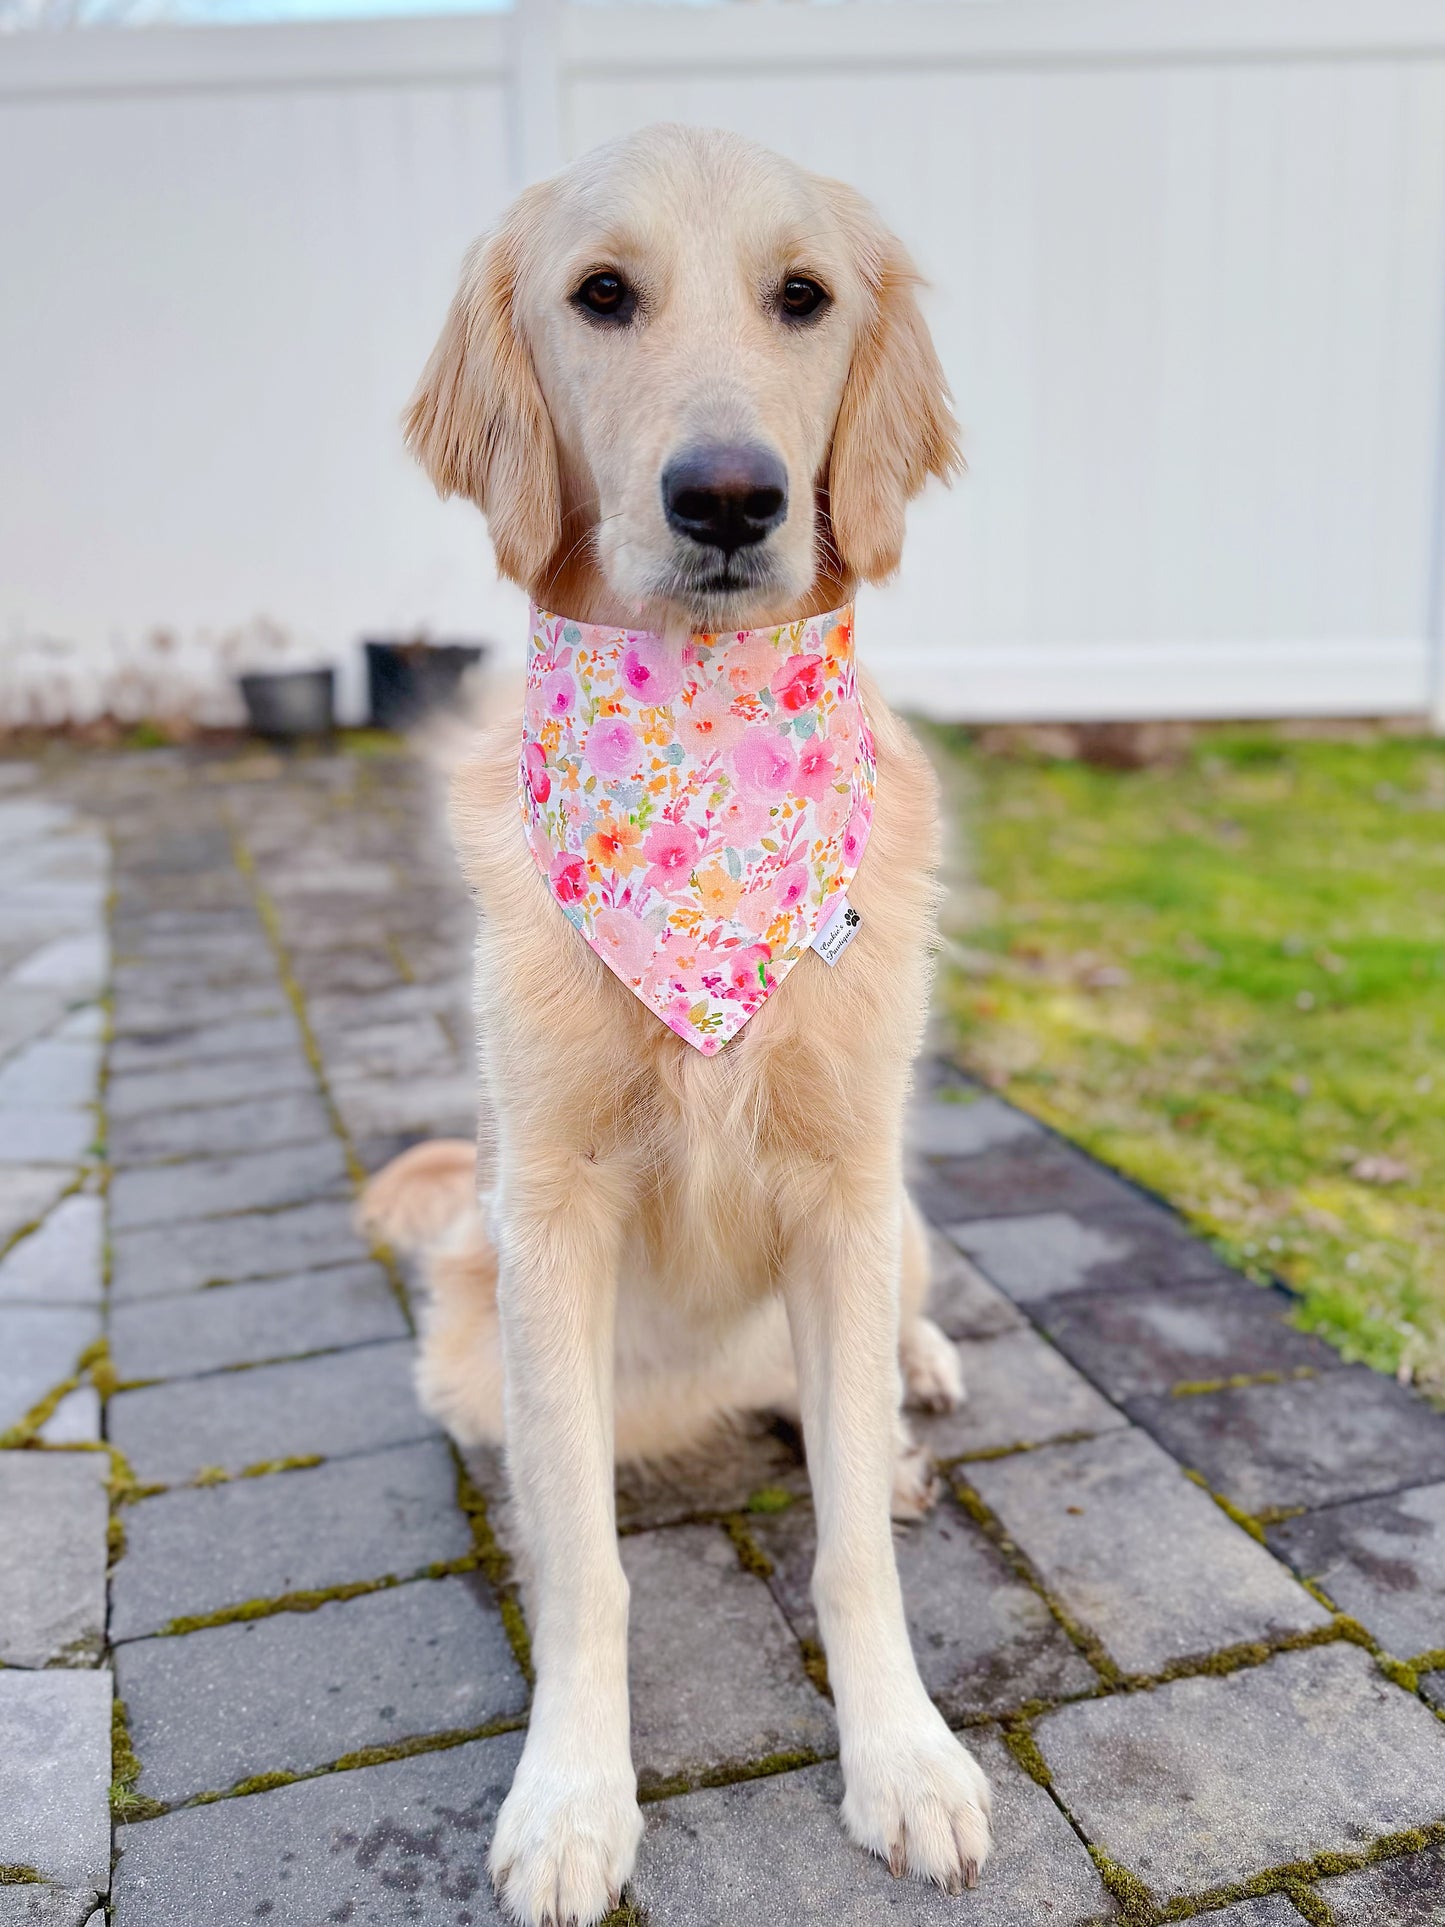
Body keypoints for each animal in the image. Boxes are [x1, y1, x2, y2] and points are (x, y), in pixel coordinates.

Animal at [362, 124, 994, 1927]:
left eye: (804, 296)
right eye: (600, 295)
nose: (727, 497)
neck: (706, 763)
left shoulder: (847, 1190)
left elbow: (851, 1550)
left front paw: (903, 1755)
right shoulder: (551, 1213)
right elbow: (581, 1566)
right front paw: (573, 1797)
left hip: (894, 1220)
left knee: (879, 1366)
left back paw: (913, 1399)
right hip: (478, 1337)